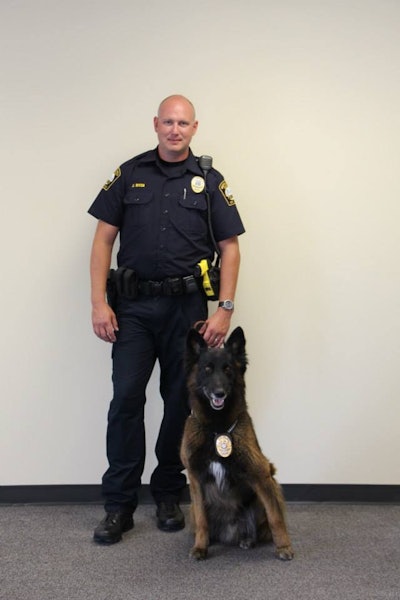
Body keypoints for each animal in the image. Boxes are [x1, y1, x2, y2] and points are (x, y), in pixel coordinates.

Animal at [181, 326, 294, 560]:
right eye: (207, 369)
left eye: (227, 369)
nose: (219, 393)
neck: (217, 428)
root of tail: (230, 532)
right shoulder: (195, 480)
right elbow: (203, 522)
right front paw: (200, 547)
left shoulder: (261, 473)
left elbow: (275, 517)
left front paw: (284, 547)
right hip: (194, 508)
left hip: (267, 489)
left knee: (261, 526)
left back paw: (248, 539)